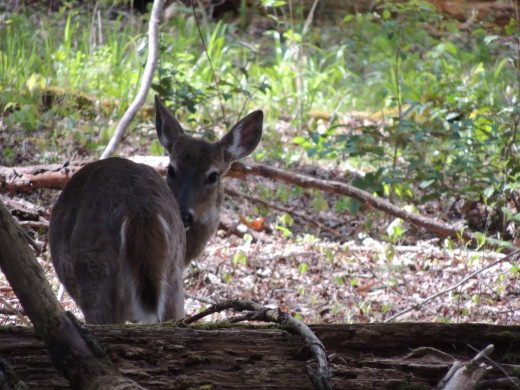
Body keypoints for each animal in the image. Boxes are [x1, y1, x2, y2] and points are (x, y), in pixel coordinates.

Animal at [49, 96, 264, 324]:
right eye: (171, 169)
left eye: (213, 175)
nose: (185, 215)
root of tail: (139, 211)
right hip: (169, 281)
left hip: (95, 268)